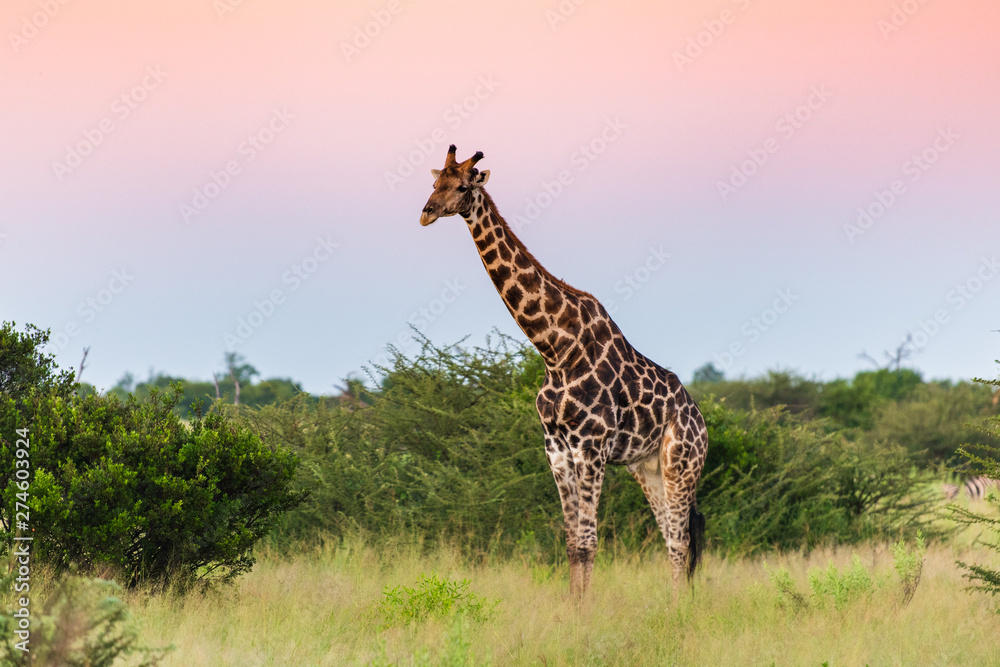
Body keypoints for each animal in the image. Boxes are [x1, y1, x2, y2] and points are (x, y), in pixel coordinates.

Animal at [419, 146, 708, 598]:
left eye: (463, 186)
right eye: (434, 182)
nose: (427, 212)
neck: (554, 350)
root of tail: (700, 421)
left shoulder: (591, 447)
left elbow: (589, 542)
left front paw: (584, 613)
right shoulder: (555, 447)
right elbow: (573, 543)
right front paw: (572, 608)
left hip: (682, 462)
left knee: (680, 543)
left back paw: (679, 608)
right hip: (648, 469)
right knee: (671, 540)